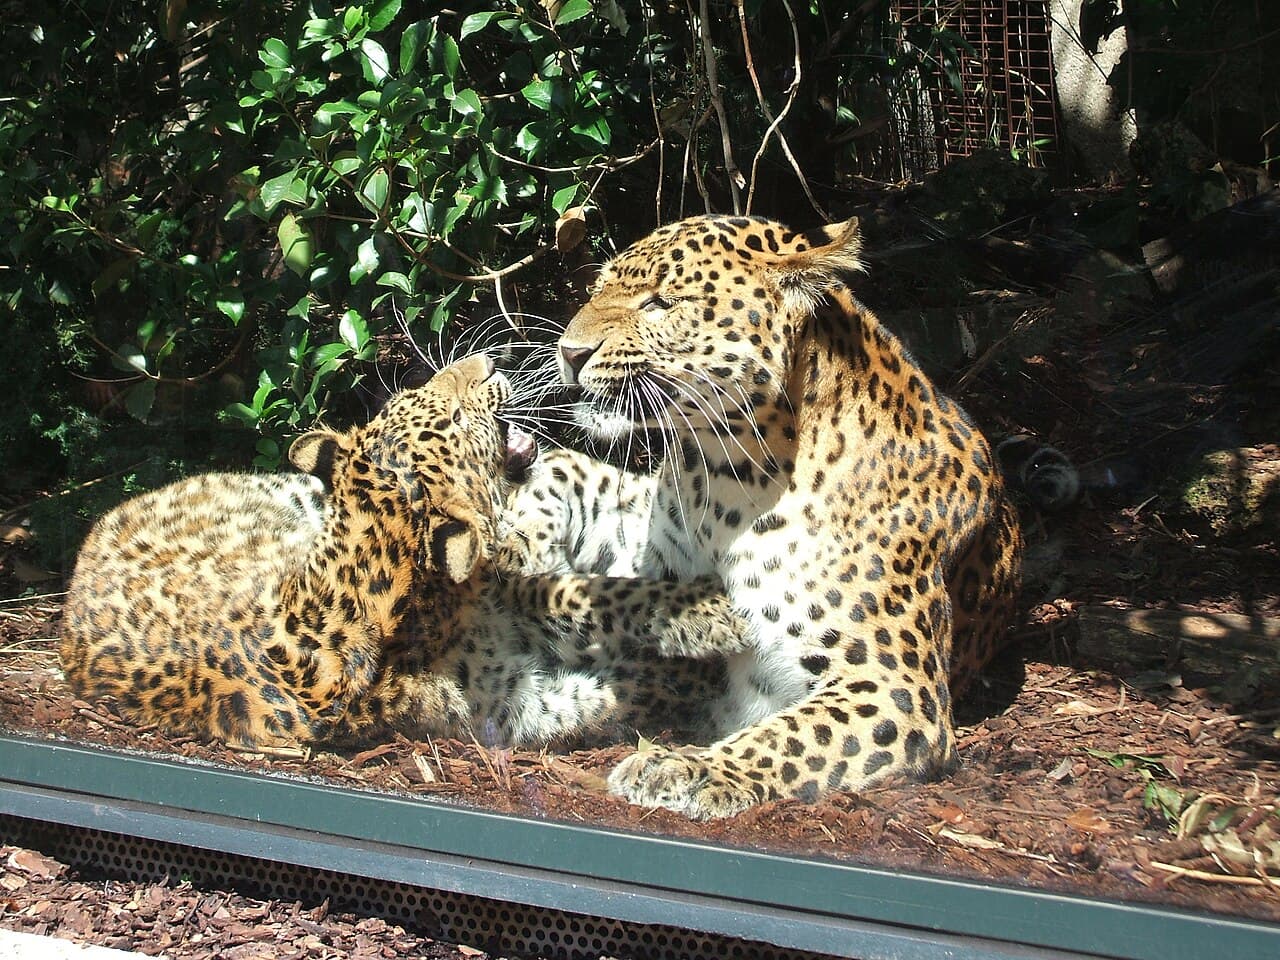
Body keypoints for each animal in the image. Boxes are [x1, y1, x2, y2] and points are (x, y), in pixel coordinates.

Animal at [499, 216, 1018, 819]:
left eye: (661, 303)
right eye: (600, 288)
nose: (570, 352)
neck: (732, 479)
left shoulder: (895, 689)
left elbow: (787, 735)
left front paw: (685, 767)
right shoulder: (652, 538)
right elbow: (572, 474)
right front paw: (516, 535)